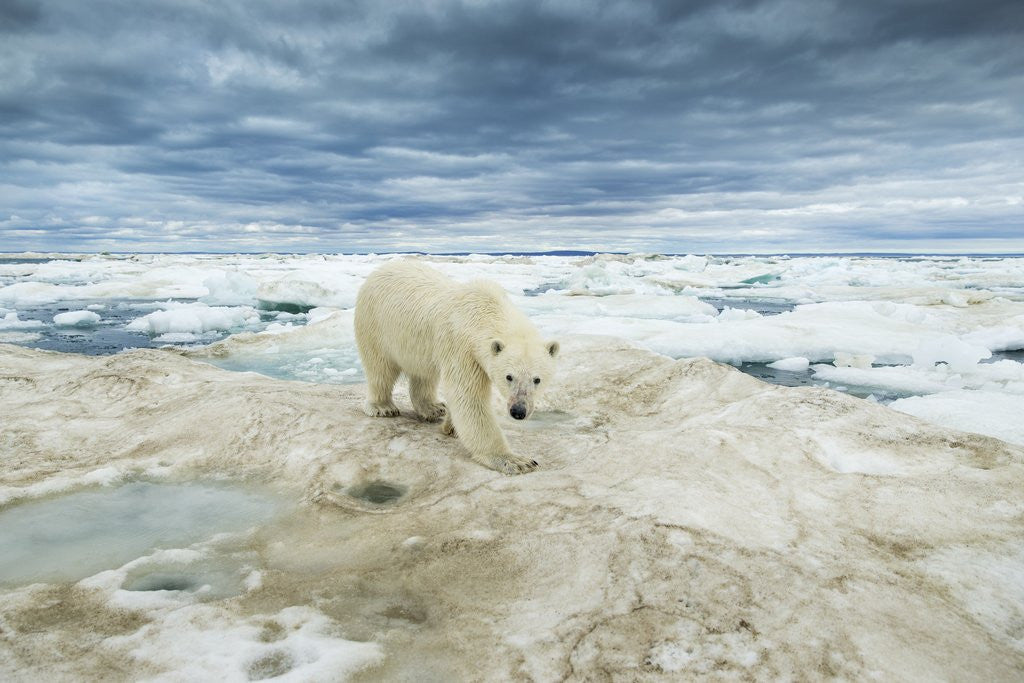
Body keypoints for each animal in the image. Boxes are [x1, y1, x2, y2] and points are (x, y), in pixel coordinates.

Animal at [354, 260, 559, 474]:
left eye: (537, 379)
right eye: (509, 377)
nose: (518, 411)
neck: (483, 311)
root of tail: (380, 269)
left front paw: (450, 427)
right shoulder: (462, 348)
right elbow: (469, 398)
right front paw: (515, 460)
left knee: (424, 374)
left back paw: (433, 408)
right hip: (375, 325)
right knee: (380, 369)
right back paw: (382, 407)